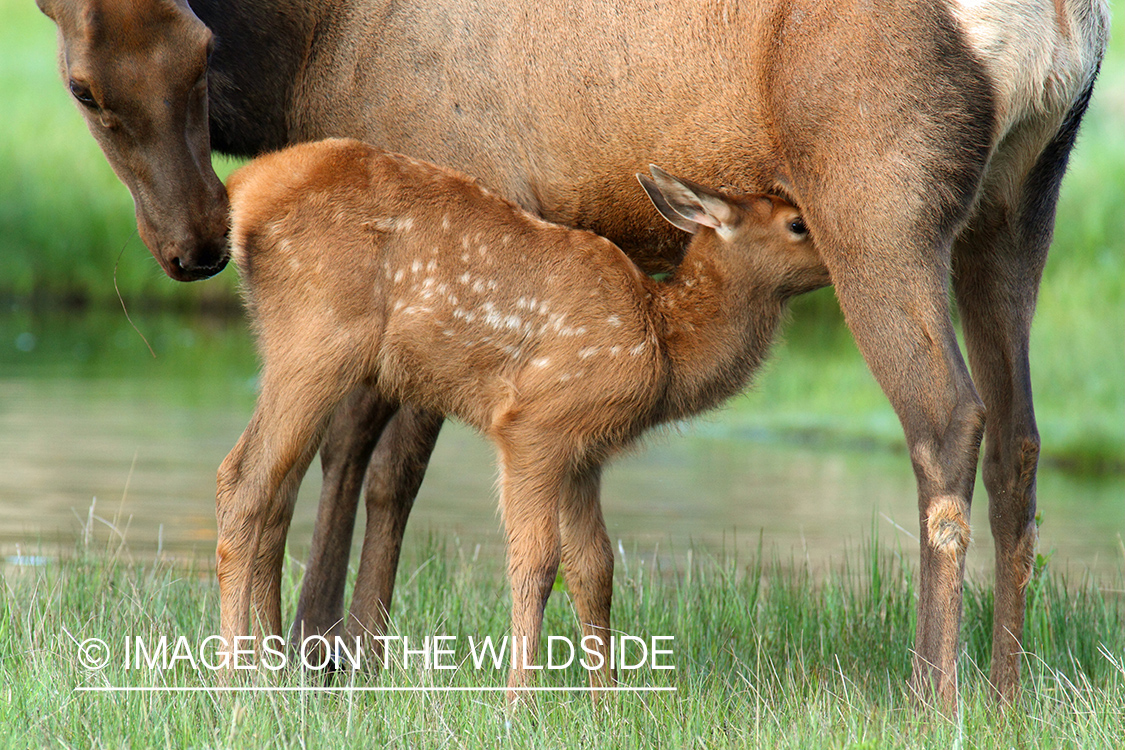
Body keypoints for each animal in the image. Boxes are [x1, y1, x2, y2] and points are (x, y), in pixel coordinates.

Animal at [219, 137, 832, 697]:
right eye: (797, 223)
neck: (663, 343)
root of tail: (244, 191)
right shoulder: (535, 422)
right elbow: (535, 562)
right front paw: (519, 699)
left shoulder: (587, 454)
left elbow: (594, 567)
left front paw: (608, 703)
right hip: (318, 336)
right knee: (243, 480)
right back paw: (234, 680)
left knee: (276, 488)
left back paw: (271, 672)